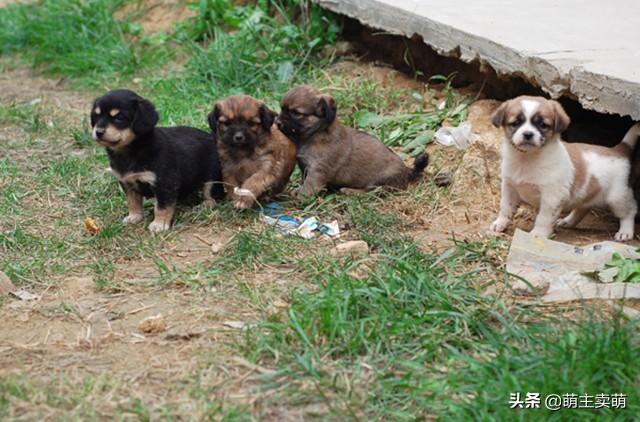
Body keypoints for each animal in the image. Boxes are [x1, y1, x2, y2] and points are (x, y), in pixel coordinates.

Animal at [90, 89, 222, 232]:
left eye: (119, 118)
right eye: (96, 116)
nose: (98, 132)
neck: (132, 149)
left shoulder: (164, 183)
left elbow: (162, 207)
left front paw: (159, 225)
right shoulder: (127, 183)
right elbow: (133, 202)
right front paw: (134, 217)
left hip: (211, 178)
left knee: (212, 196)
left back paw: (203, 206)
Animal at [276, 86, 430, 199]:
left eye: (296, 113)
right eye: (282, 109)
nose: (277, 122)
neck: (314, 134)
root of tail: (406, 171)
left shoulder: (317, 172)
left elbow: (308, 187)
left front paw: (300, 198)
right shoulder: (305, 168)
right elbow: (304, 181)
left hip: (380, 181)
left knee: (375, 192)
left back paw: (351, 191)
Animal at [490, 95, 640, 241]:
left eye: (543, 125)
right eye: (515, 123)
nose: (528, 134)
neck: (527, 159)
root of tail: (618, 149)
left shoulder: (551, 197)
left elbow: (543, 219)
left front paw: (537, 235)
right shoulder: (509, 187)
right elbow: (505, 207)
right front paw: (500, 223)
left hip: (618, 197)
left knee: (629, 212)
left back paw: (625, 232)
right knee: (582, 209)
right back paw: (568, 221)